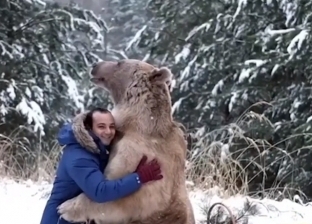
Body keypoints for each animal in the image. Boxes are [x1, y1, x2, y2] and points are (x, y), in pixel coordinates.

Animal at [56, 58, 195, 223]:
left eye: (119, 62)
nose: (95, 66)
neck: (137, 123)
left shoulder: (140, 157)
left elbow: (117, 197)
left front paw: (65, 207)